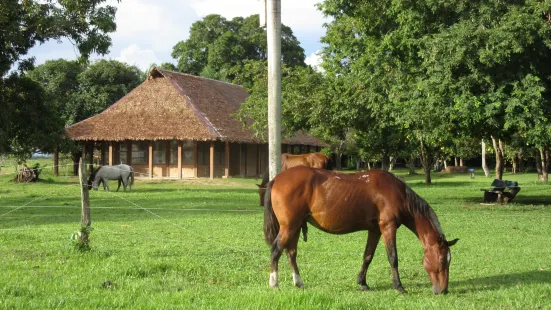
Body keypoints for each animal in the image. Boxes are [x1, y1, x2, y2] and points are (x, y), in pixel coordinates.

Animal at [264, 166, 458, 294]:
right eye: (442, 260)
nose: (444, 290)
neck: (397, 193)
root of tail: (276, 179)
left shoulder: (375, 230)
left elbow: (368, 256)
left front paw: (363, 283)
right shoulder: (388, 227)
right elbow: (393, 257)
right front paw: (399, 286)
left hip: (296, 226)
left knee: (291, 253)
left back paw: (299, 282)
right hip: (289, 227)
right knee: (275, 251)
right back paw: (274, 283)